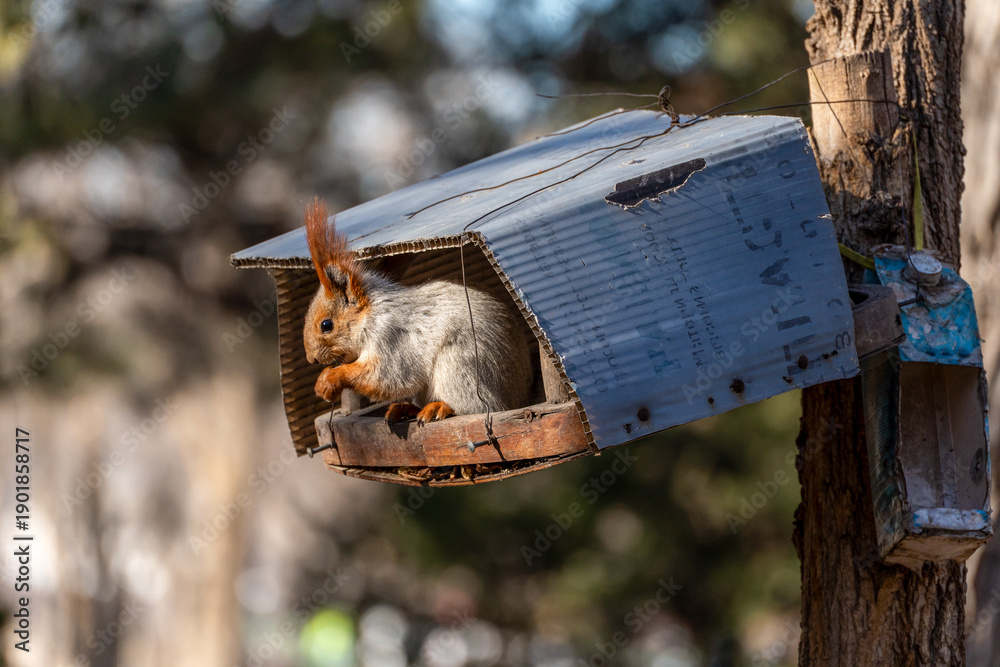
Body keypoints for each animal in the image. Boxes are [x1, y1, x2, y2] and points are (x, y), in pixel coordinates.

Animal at [302, 198, 534, 424]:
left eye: (326, 325)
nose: (312, 359)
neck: (371, 315)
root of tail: (518, 399)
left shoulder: (391, 337)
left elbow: (387, 377)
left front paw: (330, 379)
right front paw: (323, 378)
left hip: (460, 366)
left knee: (478, 407)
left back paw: (440, 407)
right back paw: (405, 408)